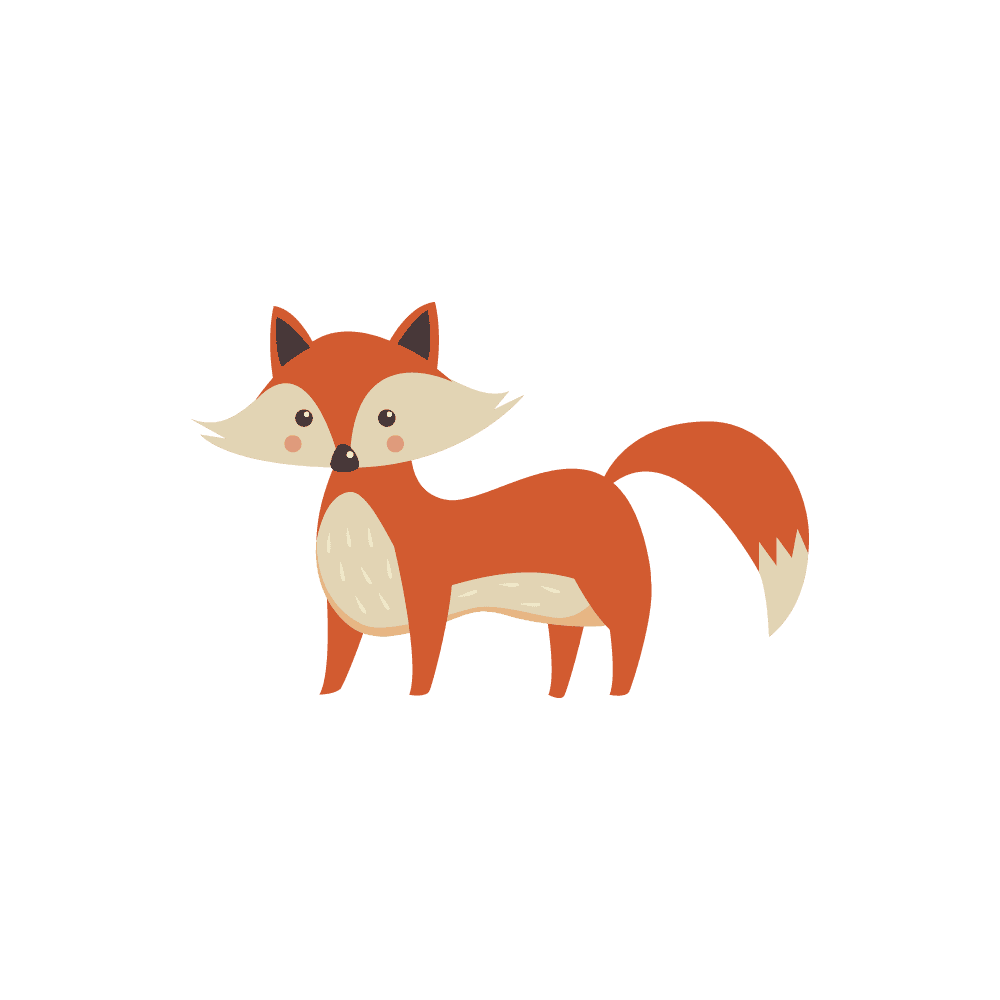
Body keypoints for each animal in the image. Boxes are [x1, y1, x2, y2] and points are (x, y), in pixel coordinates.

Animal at [195, 303, 809, 697]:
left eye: (388, 417)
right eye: (303, 418)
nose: (344, 458)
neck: (360, 540)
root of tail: (607, 478)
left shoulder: (429, 603)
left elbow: (423, 670)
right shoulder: (341, 622)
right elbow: (332, 675)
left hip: (615, 595)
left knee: (631, 650)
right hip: (565, 612)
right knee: (569, 657)